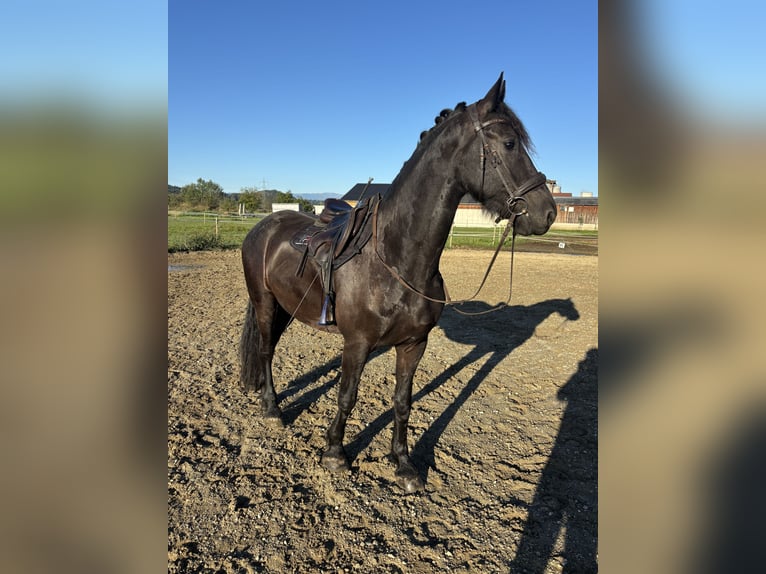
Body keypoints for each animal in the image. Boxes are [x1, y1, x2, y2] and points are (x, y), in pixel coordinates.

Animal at [239, 74, 557, 493]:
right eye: (509, 143)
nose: (547, 212)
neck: (395, 259)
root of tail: (263, 226)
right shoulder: (357, 343)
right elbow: (347, 395)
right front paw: (335, 453)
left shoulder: (413, 344)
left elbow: (403, 401)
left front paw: (403, 463)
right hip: (264, 301)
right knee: (265, 350)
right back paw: (272, 409)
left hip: (286, 307)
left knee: (270, 346)